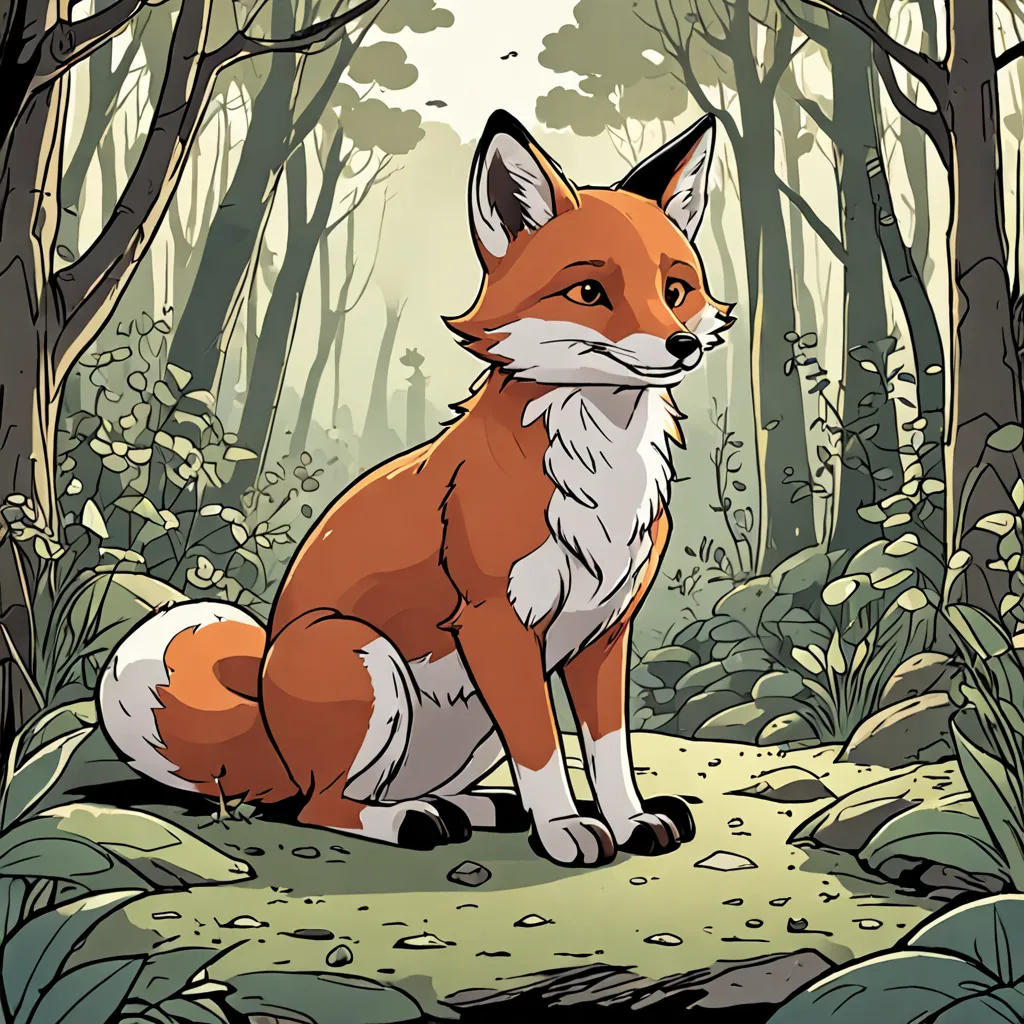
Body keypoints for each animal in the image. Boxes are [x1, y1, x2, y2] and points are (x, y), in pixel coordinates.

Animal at [98, 109, 734, 866]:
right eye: (589, 293)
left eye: (675, 291)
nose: (681, 347)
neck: (599, 476)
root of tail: (273, 745)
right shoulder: (496, 624)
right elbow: (544, 749)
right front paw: (563, 829)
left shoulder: (605, 632)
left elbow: (608, 751)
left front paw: (629, 819)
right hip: (363, 658)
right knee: (321, 806)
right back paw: (414, 820)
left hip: (464, 721)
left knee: (400, 790)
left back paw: (477, 807)